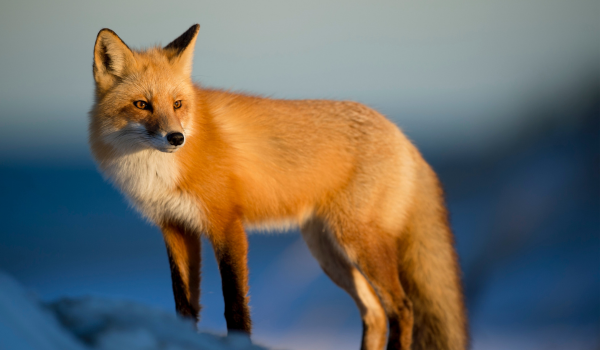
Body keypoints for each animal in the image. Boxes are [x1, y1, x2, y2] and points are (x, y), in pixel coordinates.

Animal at [88, 24, 468, 350]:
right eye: (142, 104)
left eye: (178, 104)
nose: (176, 138)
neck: (157, 172)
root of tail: (402, 136)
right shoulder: (175, 227)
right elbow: (184, 305)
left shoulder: (226, 224)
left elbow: (235, 306)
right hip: (328, 251)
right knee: (374, 312)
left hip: (359, 242)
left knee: (402, 309)